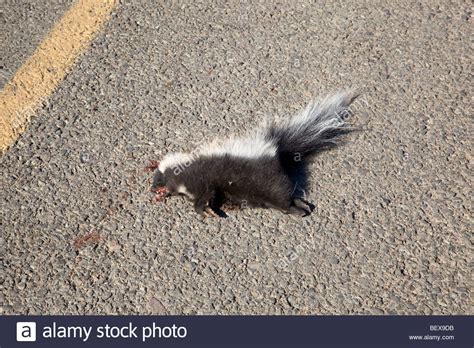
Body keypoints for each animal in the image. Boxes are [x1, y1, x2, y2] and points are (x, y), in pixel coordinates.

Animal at [152, 89, 360, 218]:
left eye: (158, 179)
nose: (153, 190)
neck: (182, 170)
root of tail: (275, 148)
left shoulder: (201, 178)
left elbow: (204, 195)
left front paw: (205, 211)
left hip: (263, 181)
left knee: (281, 198)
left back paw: (297, 210)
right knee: (285, 195)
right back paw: (303, 205)